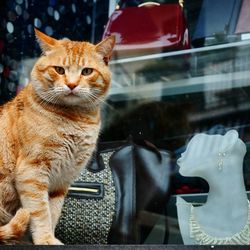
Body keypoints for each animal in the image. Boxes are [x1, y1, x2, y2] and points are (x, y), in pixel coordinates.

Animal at [0, 29, 115, 244]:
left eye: (87, 71)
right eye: (59, 70)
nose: (71, 84)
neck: (75, 119)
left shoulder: (61, 181)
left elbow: (53, 212)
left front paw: (49, 237)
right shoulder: (31, 173)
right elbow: (40, 212)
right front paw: (45, 238)